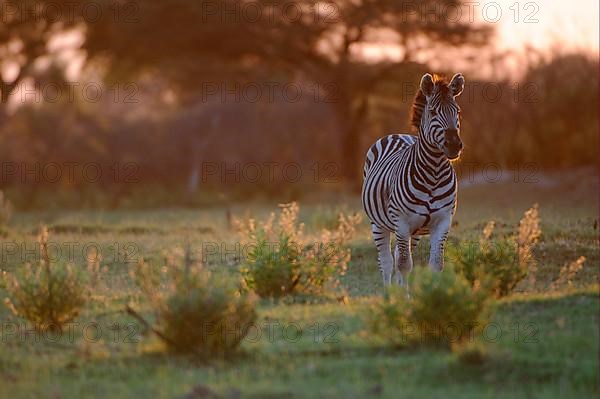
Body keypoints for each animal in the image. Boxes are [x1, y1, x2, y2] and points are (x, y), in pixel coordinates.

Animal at [360, 72, 464, 290]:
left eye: (457, 111)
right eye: (432, 112)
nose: (453, 145)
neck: (433, 173)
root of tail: (397, 134)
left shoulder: (442, 221)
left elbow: (436, 265)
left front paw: (433, 295)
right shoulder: (401, 221)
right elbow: (404, 265)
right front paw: (401, 298)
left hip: (414, 231)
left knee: (398, 256)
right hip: (378, 224)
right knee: (387, 262)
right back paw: (389, 293)